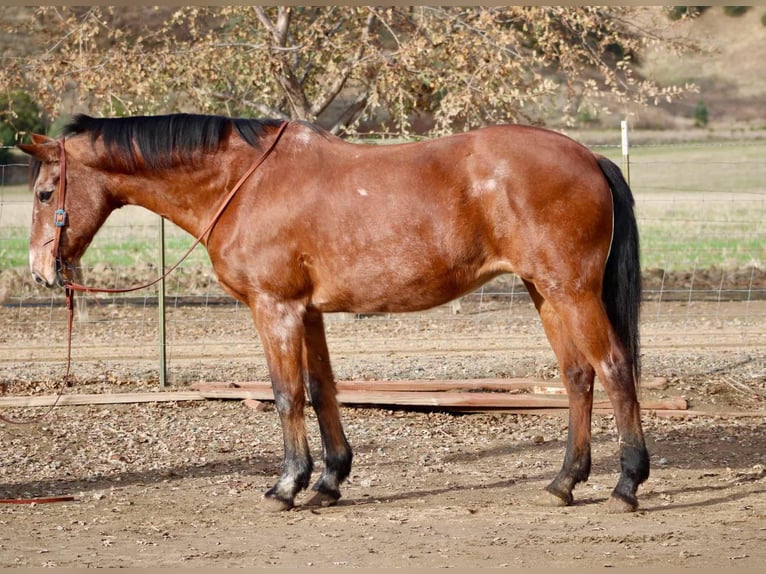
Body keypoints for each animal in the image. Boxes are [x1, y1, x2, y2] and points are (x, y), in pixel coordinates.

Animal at [19, 113, 649, 513]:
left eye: (46, 194)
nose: (41, 271)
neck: (245, 182)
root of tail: (589, 156)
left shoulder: (274, 308)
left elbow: (286, 393)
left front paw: (287, 486)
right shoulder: (309, 312)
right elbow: (323, 390)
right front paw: (329, 481)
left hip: (571, 291)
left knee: (615, 370)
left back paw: (627, 483)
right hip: (545, 292)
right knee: (578, 377)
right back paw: (565, 481)